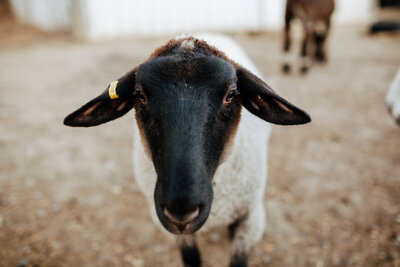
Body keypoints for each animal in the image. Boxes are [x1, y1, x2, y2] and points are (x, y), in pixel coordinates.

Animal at [64, 34, 310, 266]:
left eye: (230, 95)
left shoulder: (251, 221)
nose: (181, 210)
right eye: (140, 95)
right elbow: (191, 258)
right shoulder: (176, 230)